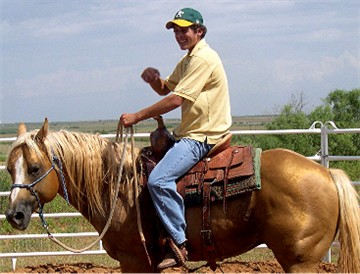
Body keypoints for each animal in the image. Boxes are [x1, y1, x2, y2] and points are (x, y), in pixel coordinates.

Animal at [3, 119, 360, 272]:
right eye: (9, 168)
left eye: (34, 167)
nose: (14, 215)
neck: (118, 189)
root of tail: (328, 175)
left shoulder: (135, 263)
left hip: (300, 261)